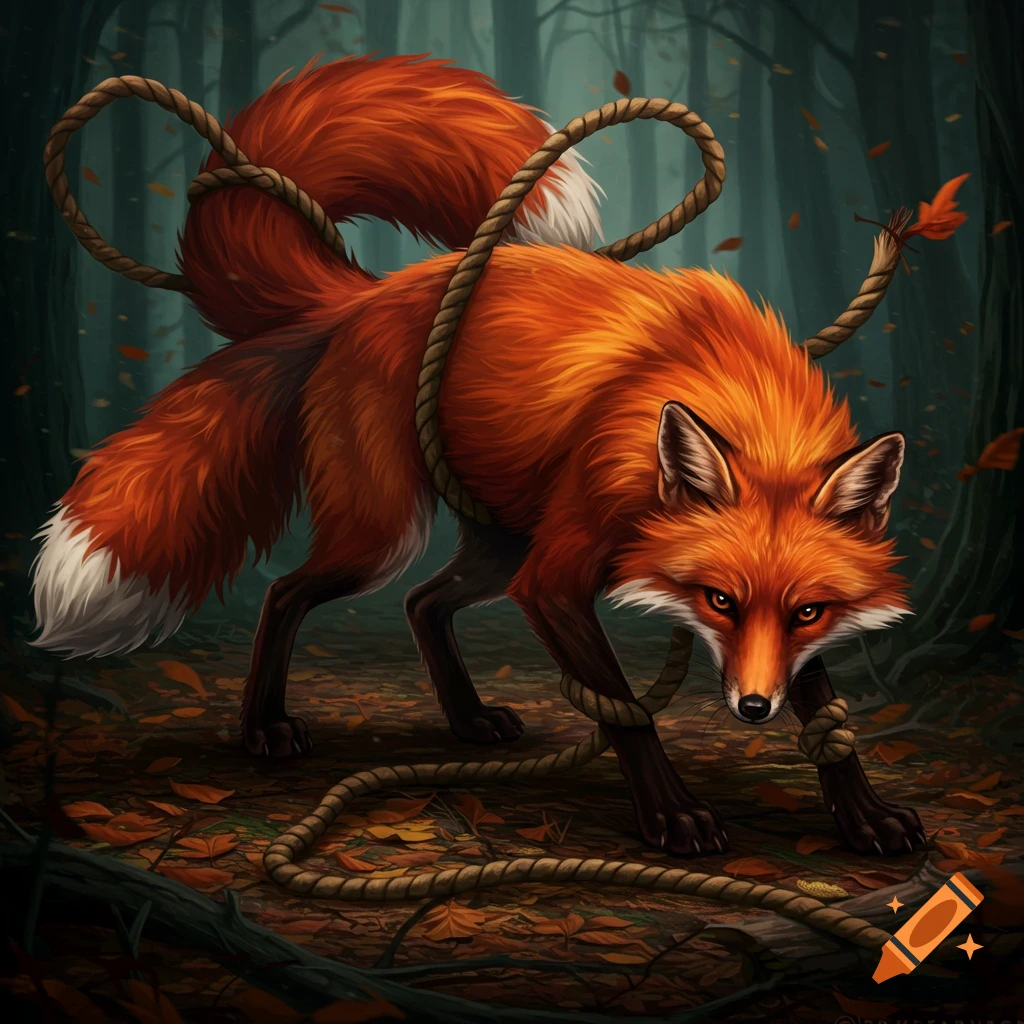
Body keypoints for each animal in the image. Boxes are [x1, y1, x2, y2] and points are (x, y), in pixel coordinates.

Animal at [31, 55, 925, 858]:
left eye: (808, 611)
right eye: (718, 601)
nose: (752, 709)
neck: (730, 394)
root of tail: (370, 292)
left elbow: (823, 707)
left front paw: (864, 816)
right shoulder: (556, 579)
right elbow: (626, 711)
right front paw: (671, 816)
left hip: (496, 539)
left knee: (424, 603)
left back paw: (465, 719)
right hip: (390, 535)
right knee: (290, 592)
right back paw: (265, 726)